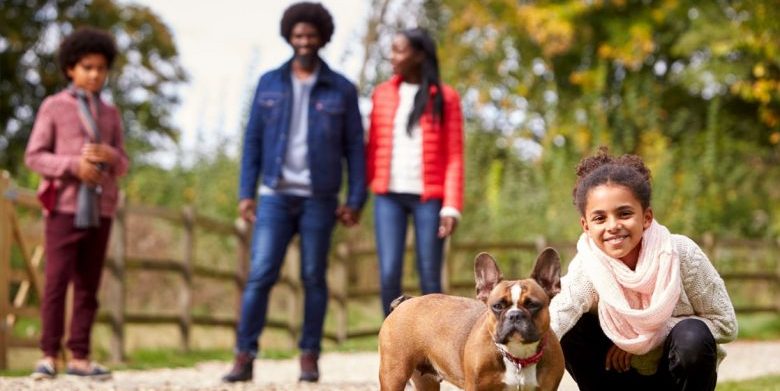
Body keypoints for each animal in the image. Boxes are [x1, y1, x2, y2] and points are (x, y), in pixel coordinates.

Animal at [376, 250, 560, 390]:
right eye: (498, 306)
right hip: (394, 374)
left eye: (532, 305)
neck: (518, 357)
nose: (514, 315)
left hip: (426, 381)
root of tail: (406, 302)